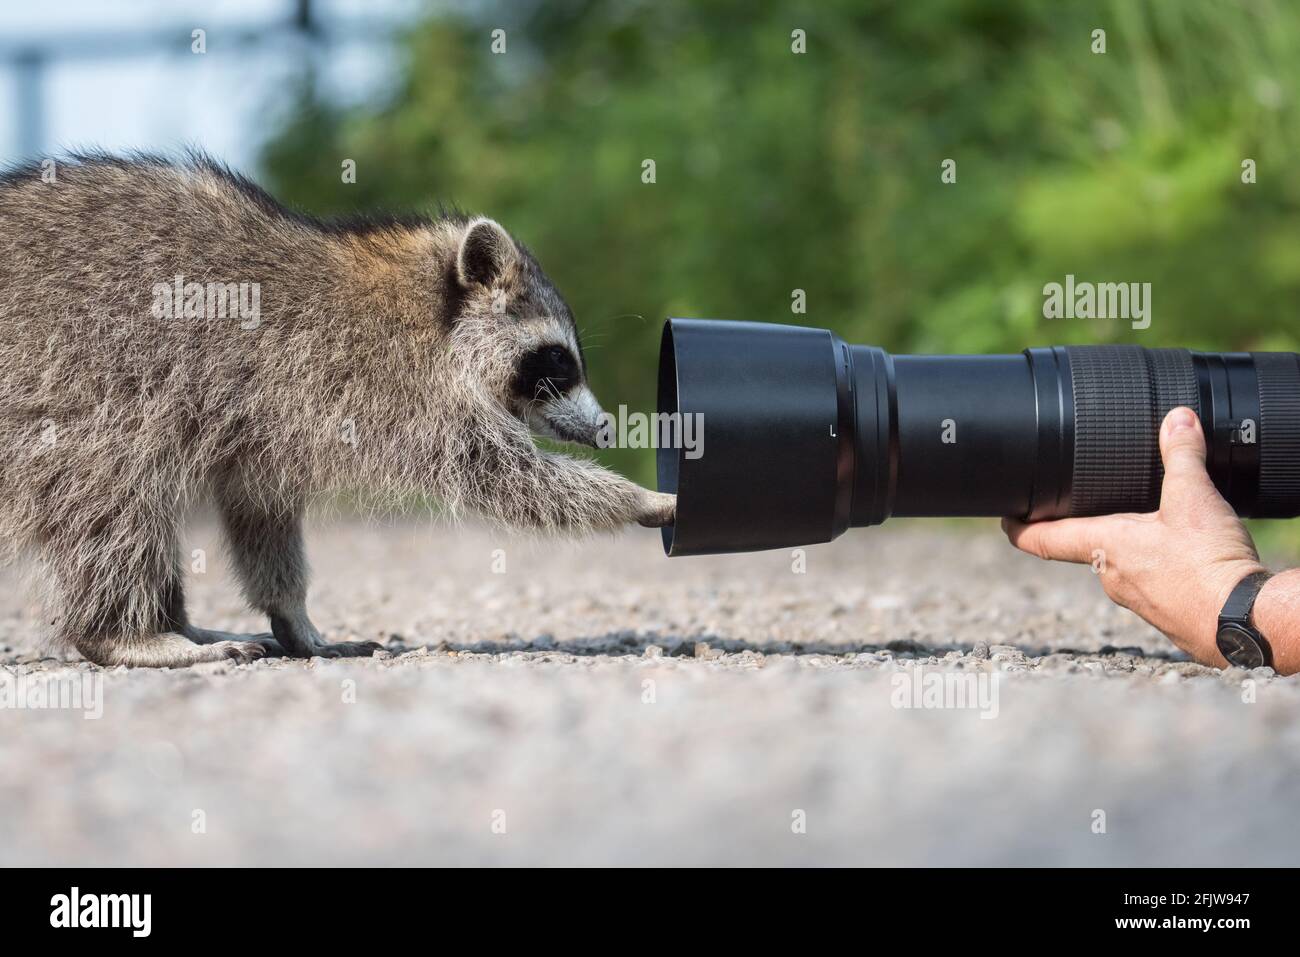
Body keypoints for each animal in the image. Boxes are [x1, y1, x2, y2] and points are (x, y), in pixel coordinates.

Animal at [0, 153, 670, 670]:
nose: (606, 427)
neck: (425, 307)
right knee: (113, 501)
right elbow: (500, 474)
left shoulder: (271, 422)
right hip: (75, 396)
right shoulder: (383, 385)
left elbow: (259, 506)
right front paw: (639, 497)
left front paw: (293, 615)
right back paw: (126, 634)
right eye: (556, 361)